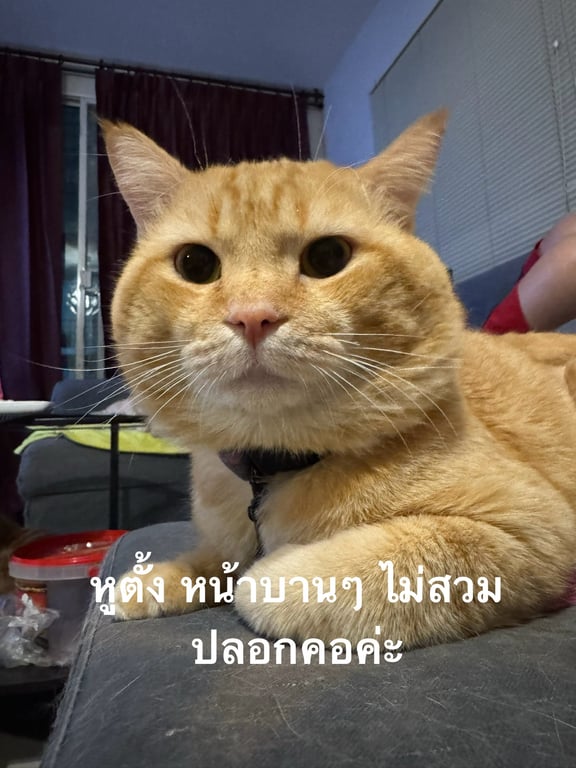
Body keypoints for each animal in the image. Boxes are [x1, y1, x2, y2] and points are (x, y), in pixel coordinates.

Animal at [102, 111, 576, 649]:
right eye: (195, 264)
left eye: (328, 257)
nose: (252, 316)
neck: (270, 467)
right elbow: (211, 558)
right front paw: (161, 579)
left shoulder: (529, 530)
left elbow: (361, 569)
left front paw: (267, 577)